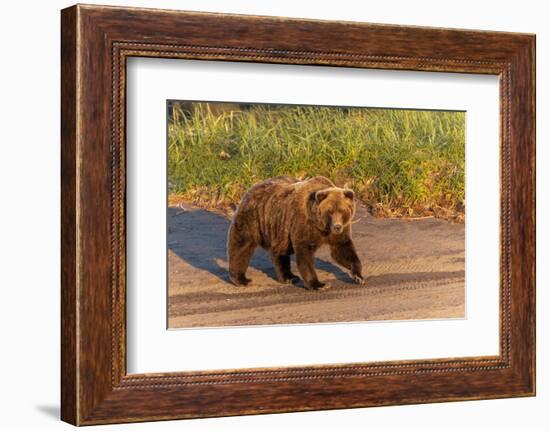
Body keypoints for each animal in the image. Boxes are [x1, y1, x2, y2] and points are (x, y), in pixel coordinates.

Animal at [229, 176, 366, 290]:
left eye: (342, 210)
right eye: (330, 211)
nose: (337, 226)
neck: (321, 226)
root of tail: (251, 188)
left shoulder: (340, 230)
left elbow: (343, 249)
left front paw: (358, 276)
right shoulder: (304, 224)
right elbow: (305, 253)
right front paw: (318, 284)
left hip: (279, 228)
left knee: (279, 251)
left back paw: (288, 277)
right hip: (253, 218)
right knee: (242, 245)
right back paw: (241, 279)